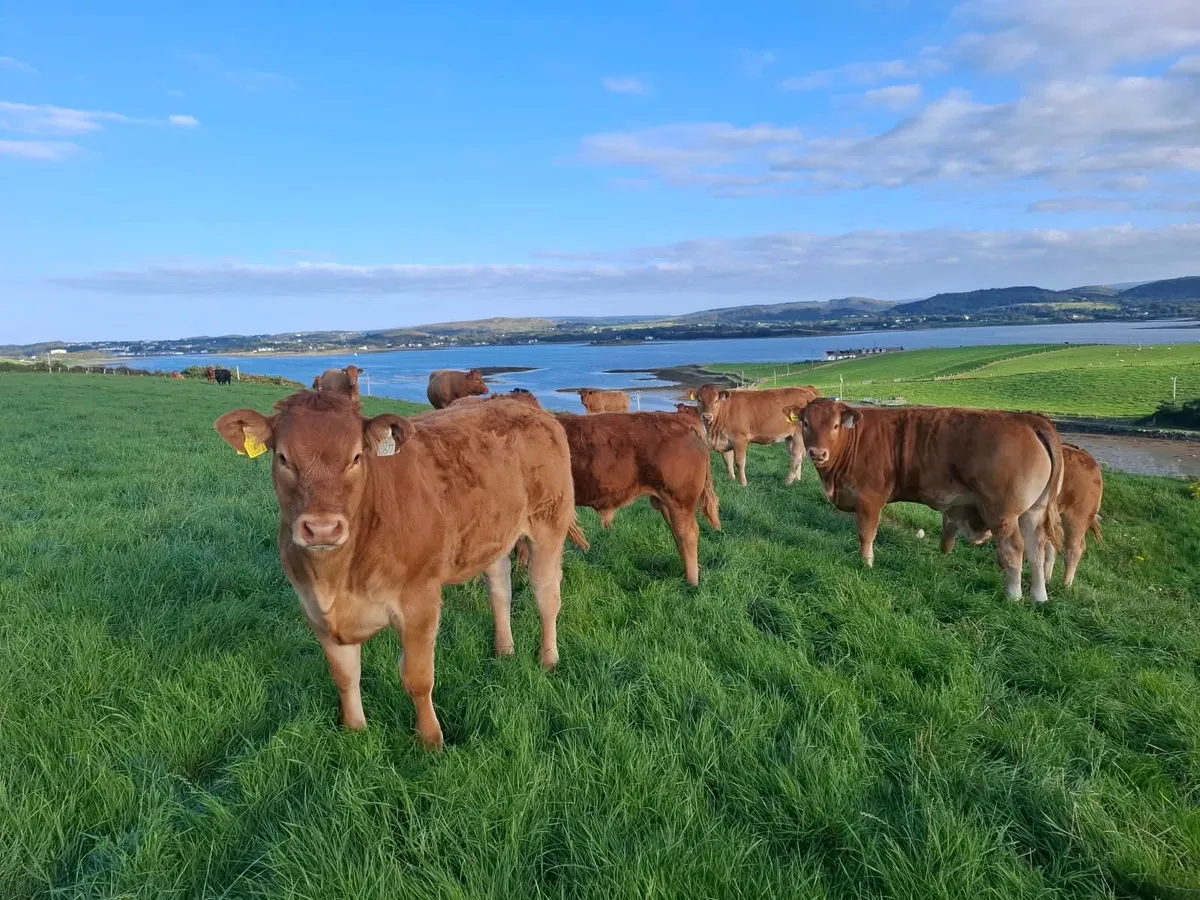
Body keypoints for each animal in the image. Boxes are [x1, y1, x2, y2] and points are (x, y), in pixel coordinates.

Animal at [213, 392, 583, 749]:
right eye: (283, 458)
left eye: (356, 457)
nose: (322, 528)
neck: (336, 579)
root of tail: (526, 406)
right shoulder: (314, 609)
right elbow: (345, 676)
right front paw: (355, 730)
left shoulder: (420, 601)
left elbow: (418, 679)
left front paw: (430, 740)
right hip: (493, 535)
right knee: (500, 590)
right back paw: (504, 650)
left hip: (548, 524)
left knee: (547, 596)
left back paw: (548, 659)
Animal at [551, 412, 720, 586]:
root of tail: (682, 419)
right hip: (667, 503)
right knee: (679, 534)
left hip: (679, 500)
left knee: (688, 534)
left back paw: (692, 583)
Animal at [689, 384, 819, 486]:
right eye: (699, 400)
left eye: (716, 400)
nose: (707, 416)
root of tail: (806, 389)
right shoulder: (725, 440)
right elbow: (728, 460)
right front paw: (731, 479)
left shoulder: (739, 439)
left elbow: (739, 462)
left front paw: (743, 483)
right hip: (790, 437)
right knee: (798, 456)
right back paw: (797, 479)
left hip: (799, 435)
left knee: (796, 457)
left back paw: (788, 482)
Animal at [796, 399, 1064, 603]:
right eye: (806, 423)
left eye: (835, 425)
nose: (817, 453)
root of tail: (1028, 419)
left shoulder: (869, 498)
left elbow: (866, 533)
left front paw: (866, 563)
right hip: (1032, 512)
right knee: (1036, 550)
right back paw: (1039, 597)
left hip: (1003, 513)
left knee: (1014, 549)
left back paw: (1013, 595)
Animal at [941, 443, 1103, 587]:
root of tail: (1086, 456)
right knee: (1052, 546)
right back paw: (1046, 579)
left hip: (1077, 517)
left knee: (1074, 548)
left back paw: (1065, 585)